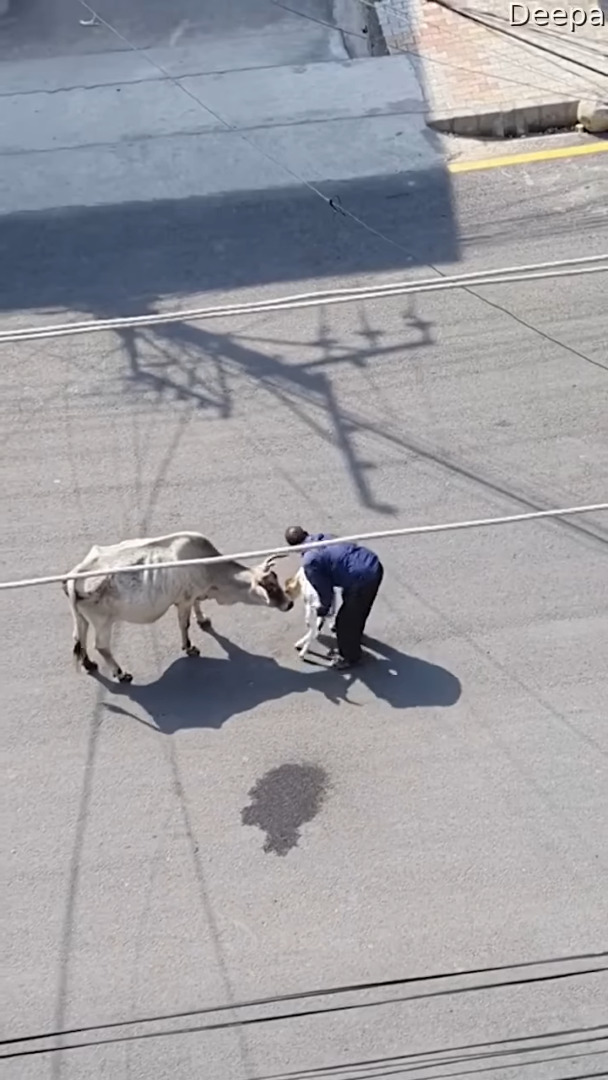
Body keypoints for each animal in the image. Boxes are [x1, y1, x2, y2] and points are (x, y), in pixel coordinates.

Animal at [63, 533, 295, 682]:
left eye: (276, 579)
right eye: (270, 587)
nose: (290, 603)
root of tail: (76, 575)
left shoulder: (195, 595)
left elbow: (198, 607)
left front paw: (203, 619)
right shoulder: (184, 600)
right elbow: (185, 624)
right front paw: (189, 647)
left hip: (81, 617)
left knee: (78, 636)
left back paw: (88, 664)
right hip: (103, 622)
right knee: (102, 646)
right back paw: (121, 673)